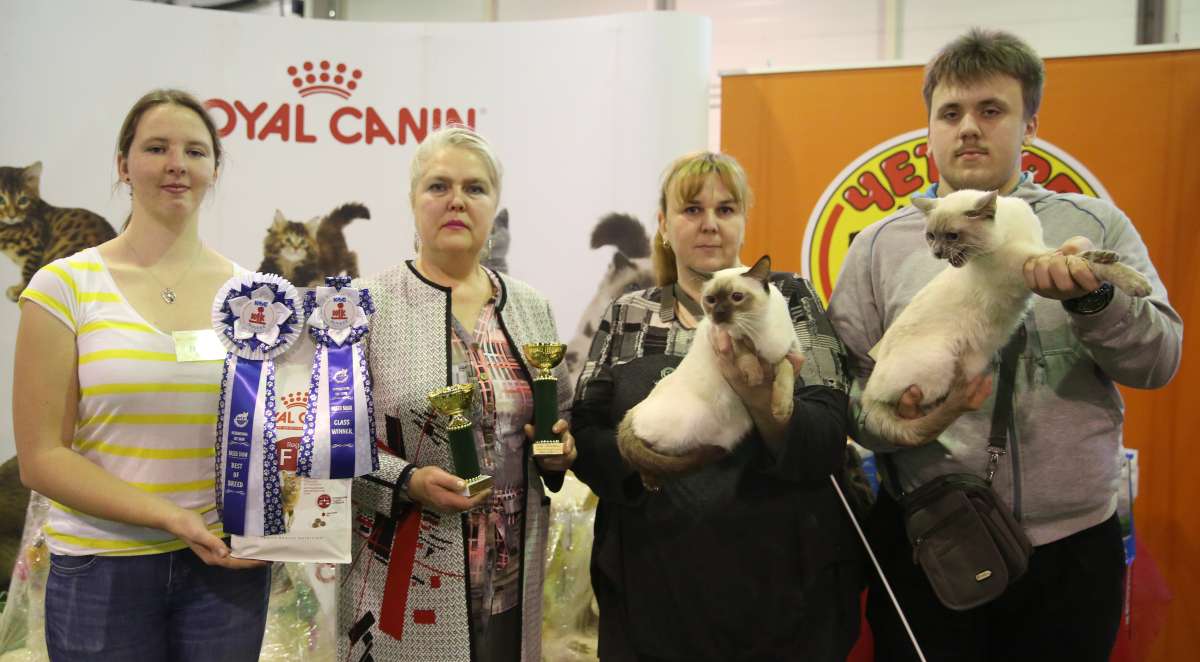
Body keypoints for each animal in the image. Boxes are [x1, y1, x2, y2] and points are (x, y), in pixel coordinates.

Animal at [0, 162, 116, 301]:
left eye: (23, 200)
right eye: (1, 200)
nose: (12, 216)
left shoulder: (34, 245)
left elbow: (27, 272)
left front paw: (19, 291)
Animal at [617, 255, 798, 479]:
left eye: (736, 297)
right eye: (711, 300)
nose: (718, 313)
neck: (756, 328)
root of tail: (634, 410)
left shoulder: (789, 350)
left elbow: (786, 368)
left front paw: (781, 409)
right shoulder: (723, 334)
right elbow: (742, 348)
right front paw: (754, 375)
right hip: (682, 427)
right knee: (648, 457)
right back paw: (654, 479)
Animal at [860, 189, 1153, 447]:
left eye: (952, 236)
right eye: (931, 236)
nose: (938, 253)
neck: (1009, 231)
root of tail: (867, 392)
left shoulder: (1042, 250)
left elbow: (1079, 255)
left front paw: (1110, 257)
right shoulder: (1032, 259)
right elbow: (1086, 262)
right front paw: (1138, 283)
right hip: (939, 363)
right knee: (936, 399)